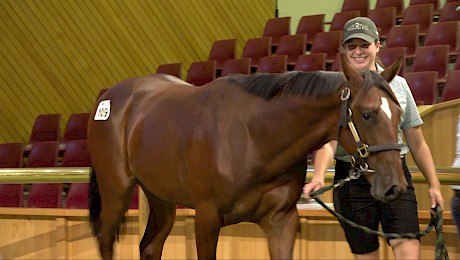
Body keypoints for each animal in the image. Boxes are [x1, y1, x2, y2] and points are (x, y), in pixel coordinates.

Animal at [89, 57, 406, 260]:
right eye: (367, 114)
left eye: (399, 112)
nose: (395, 186)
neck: (254, 137)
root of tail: (110, 96)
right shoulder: (207, 219)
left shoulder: (281, 221)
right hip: (116, 192)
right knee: (105, 242)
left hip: (162, 200)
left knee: (150, 247)